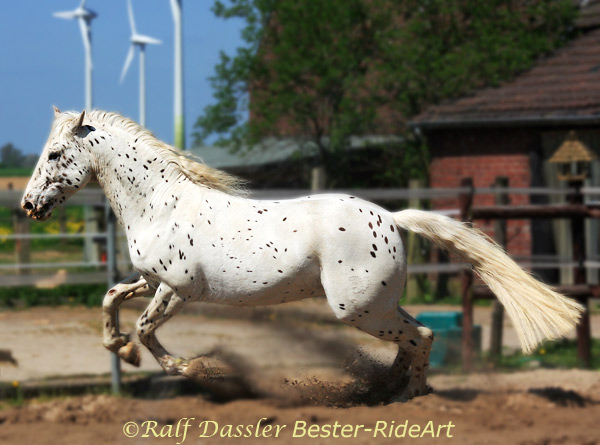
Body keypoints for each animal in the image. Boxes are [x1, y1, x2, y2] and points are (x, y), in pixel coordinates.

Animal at [23, 108, 580, 398]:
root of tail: (392, 218)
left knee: (420, 336)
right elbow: (112, 298)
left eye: (55, 153)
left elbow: (145, 328)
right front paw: (117, 347)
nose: (29, 204)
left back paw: (407, 395)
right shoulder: (152, 281)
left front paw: (190, 368)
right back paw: (386, 387)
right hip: (377, 304)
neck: (160, 205)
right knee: (413, 336)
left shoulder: (177, 290)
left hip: (357, 308)